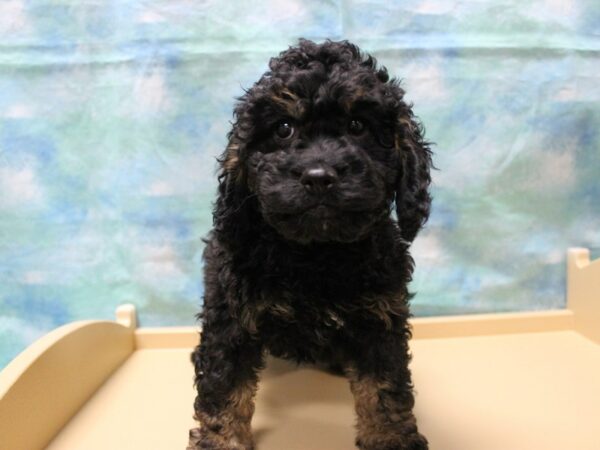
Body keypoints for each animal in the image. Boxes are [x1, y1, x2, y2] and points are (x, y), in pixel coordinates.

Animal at [188, 39, 432, 450]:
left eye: (358, 125)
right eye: (283, 128)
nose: (319, 177)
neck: (316, 253)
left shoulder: (381, 317)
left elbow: (384, 387)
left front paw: (390, 438)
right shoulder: (231, 318)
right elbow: (224, 387)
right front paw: (219, 441)